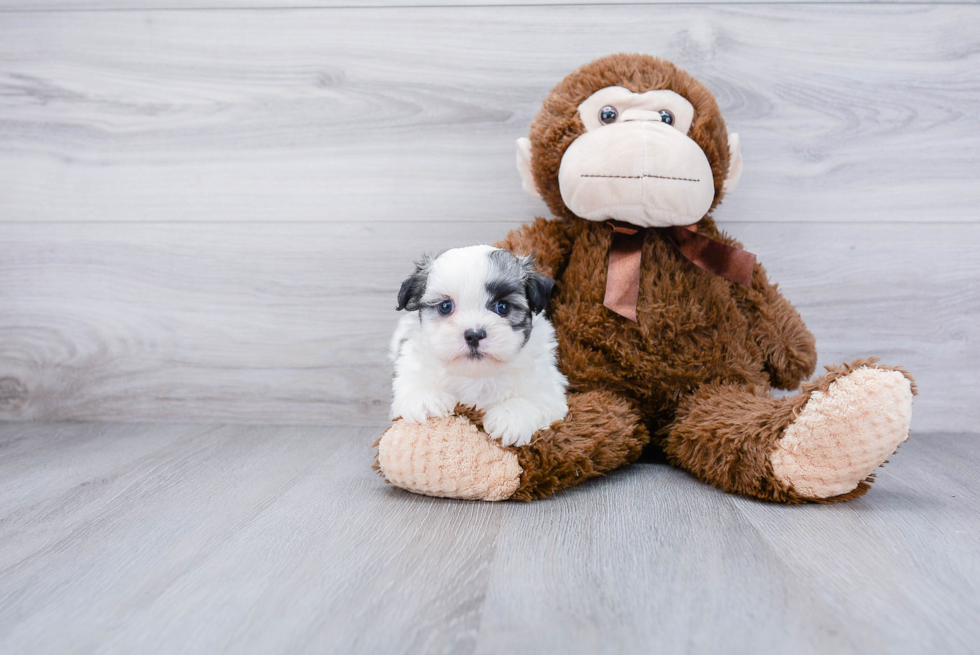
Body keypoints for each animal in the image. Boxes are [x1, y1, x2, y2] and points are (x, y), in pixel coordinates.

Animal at [388, 243, 568, 448]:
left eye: (503, 307)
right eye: (445, 306)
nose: (474, 335)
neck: (477, 376)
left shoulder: (549, 390)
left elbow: (535, 401)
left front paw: (510, 417)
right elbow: (411, 385)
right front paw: (426, 399)